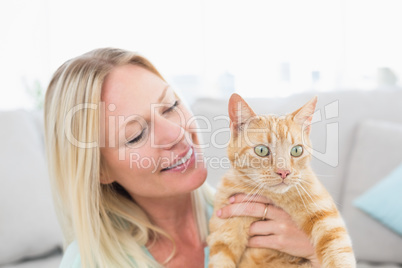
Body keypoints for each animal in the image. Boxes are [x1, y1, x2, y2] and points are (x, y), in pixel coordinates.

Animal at [207, 93, 354, 266]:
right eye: (262, 150)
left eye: (296, 150)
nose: (284, 172)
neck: (276, 197)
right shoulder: (223, 237)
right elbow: (221, 259)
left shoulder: (326, 218)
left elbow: (338, 252)